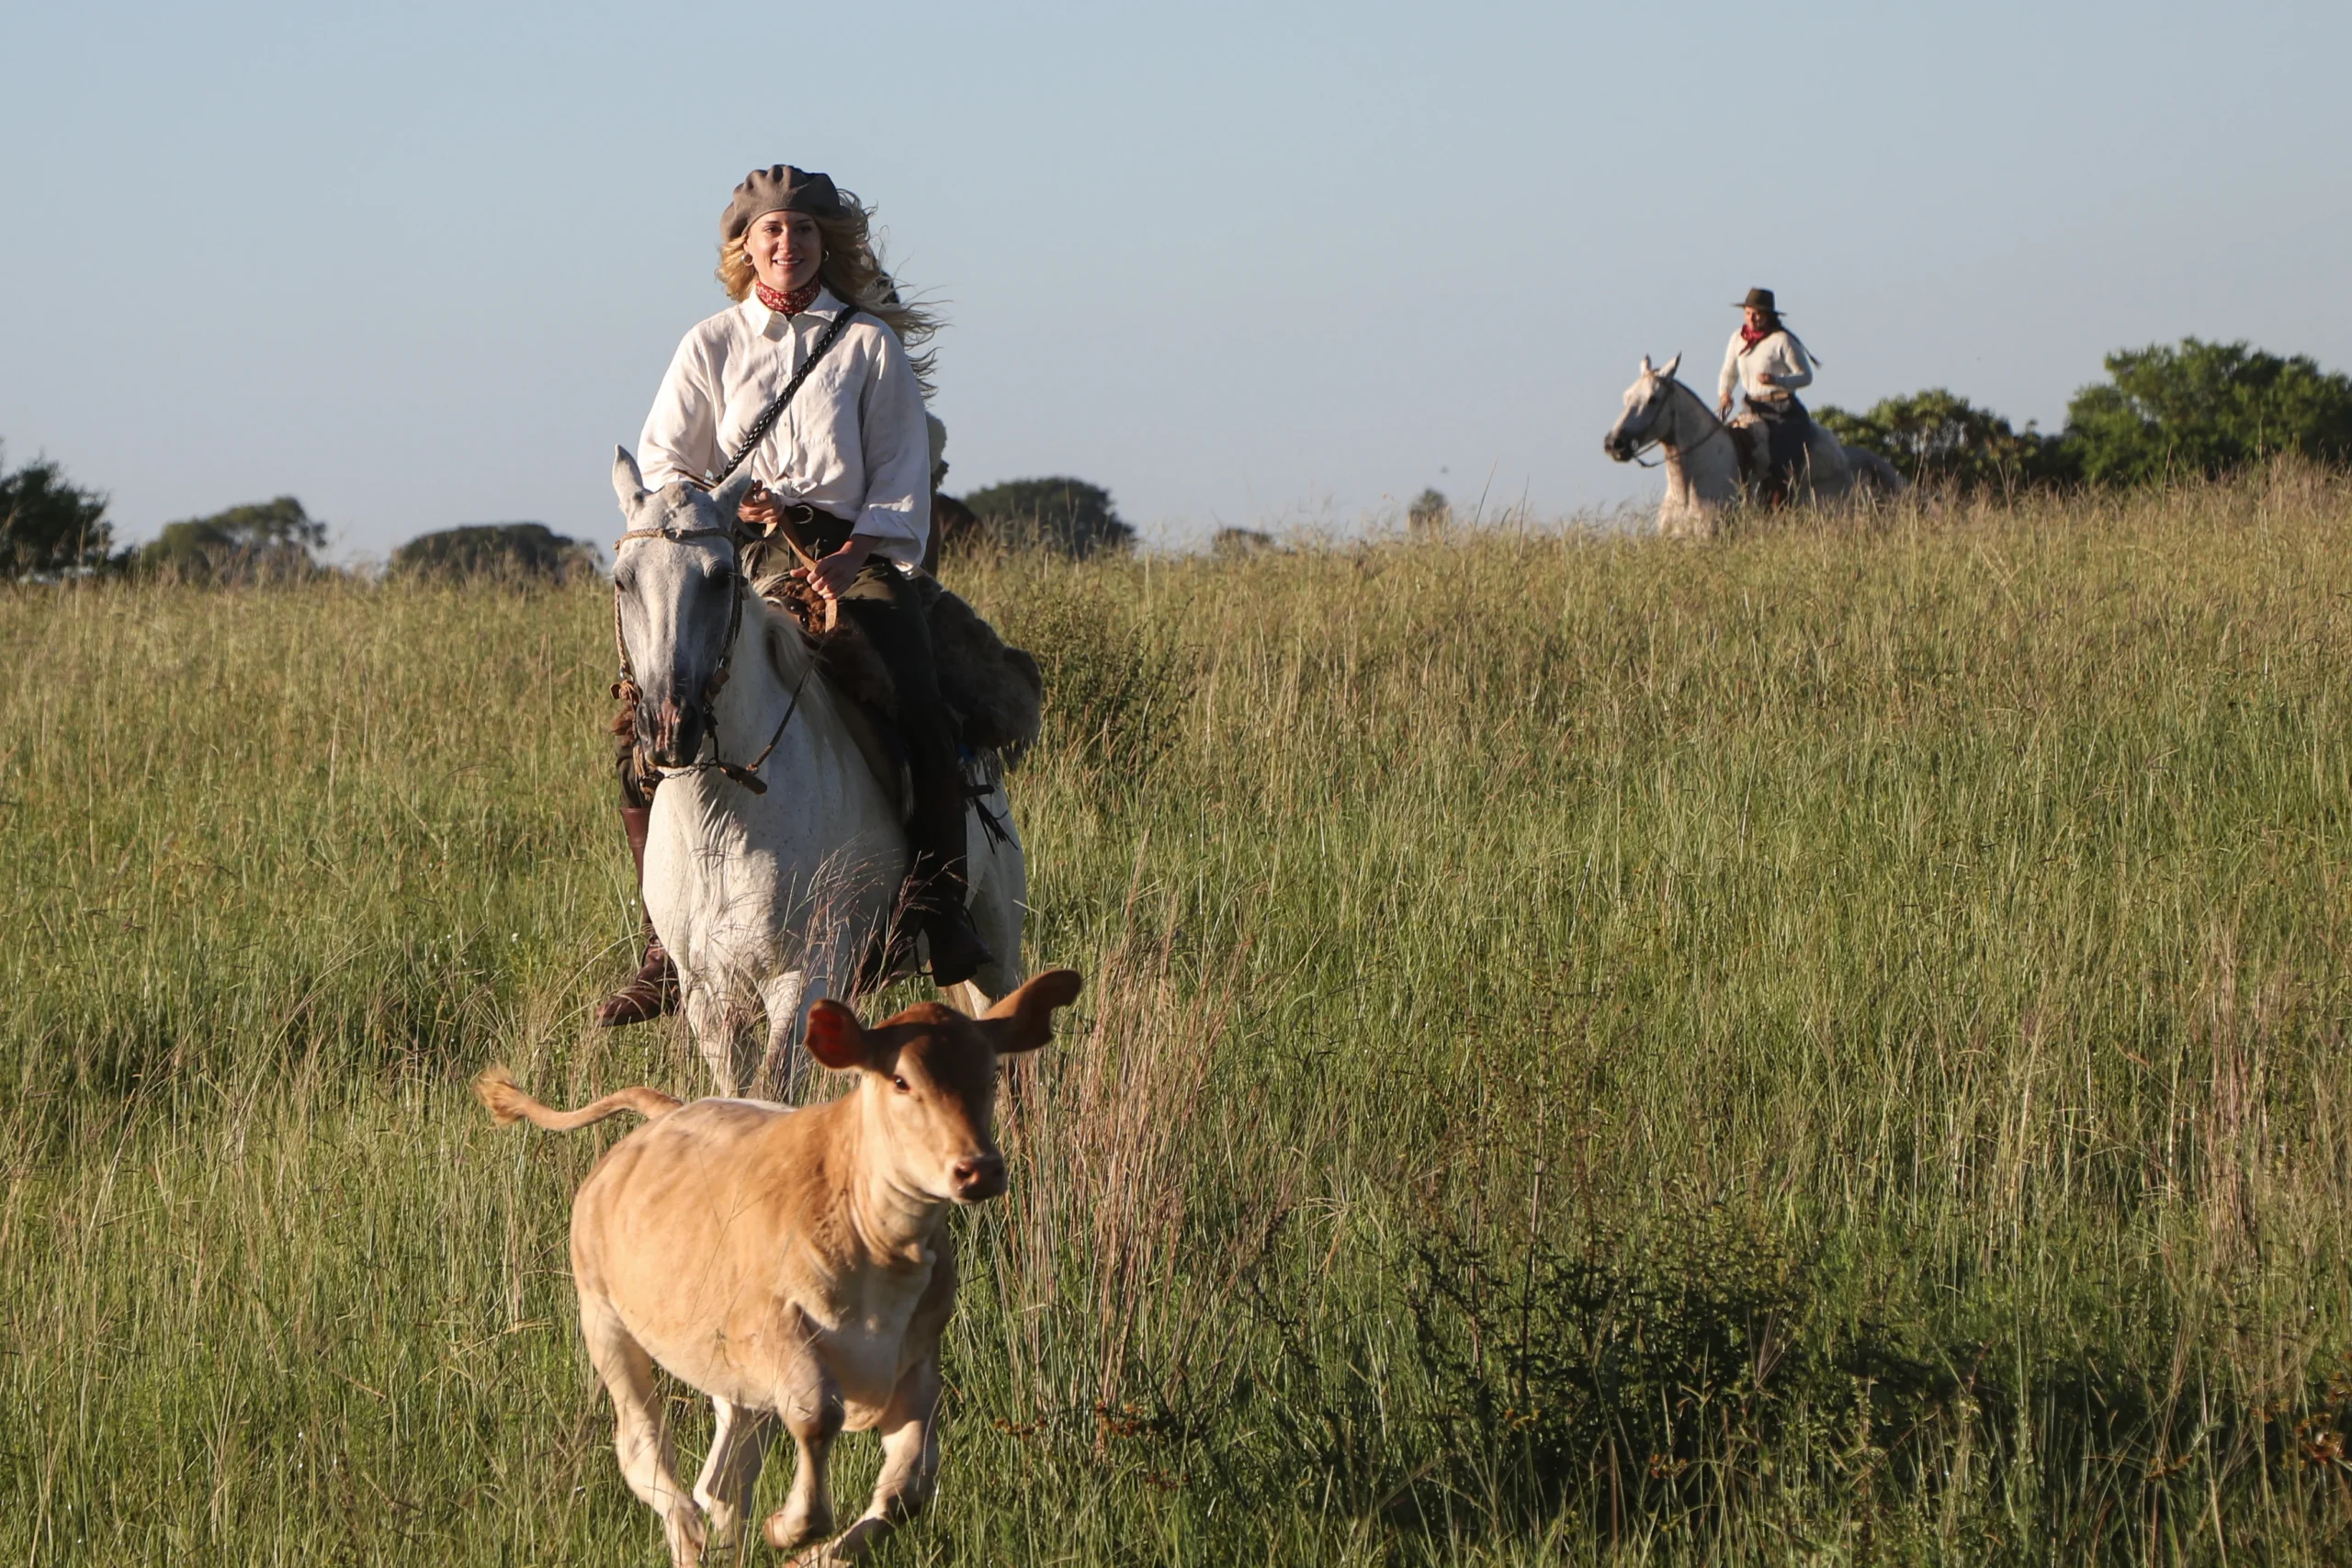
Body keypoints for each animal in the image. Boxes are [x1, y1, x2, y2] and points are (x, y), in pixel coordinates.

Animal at [475, 968, 1084, 1566]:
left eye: (991, 1074)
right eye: (901, 1081)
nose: (978, 1168)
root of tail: (667, 1113)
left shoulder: (915, 1357)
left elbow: (908, 1488)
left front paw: (822, 1555)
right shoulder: (776, 1330)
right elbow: (817, 1418)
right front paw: (790, 1528)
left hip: (730, 1374)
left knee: (723, 1481)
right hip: (605, 1320)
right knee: (647, 1449)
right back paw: (688, 1534)